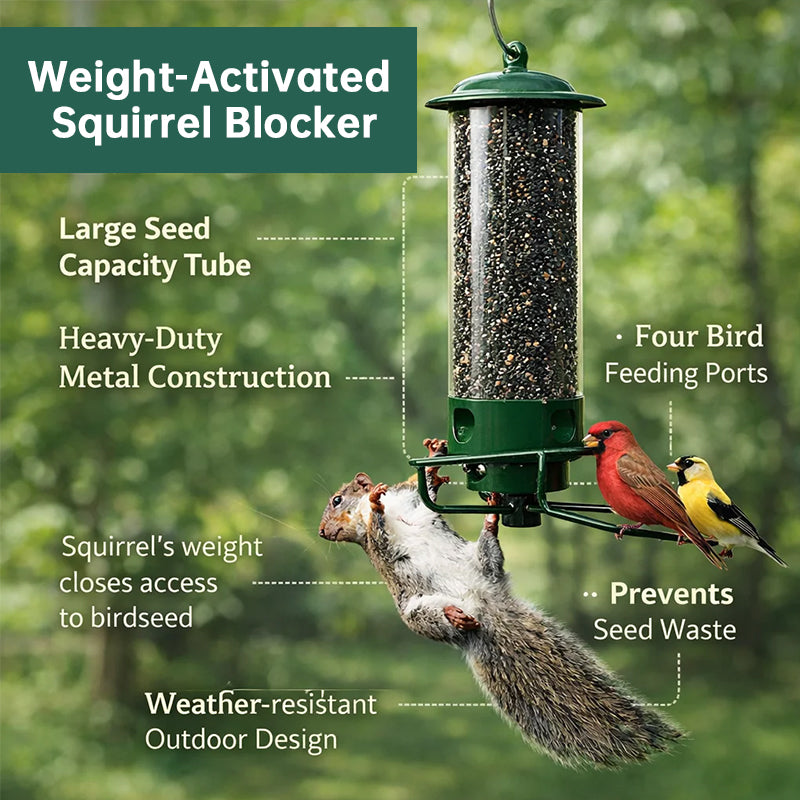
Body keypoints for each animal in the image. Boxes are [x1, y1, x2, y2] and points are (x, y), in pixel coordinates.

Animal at [319, 438, 683, 768]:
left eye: (337, 499)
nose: (323, 532)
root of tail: (483, 606)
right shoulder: (377, 543)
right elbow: (379, 530)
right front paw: (376, 505)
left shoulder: (411, 498)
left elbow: (425, 494)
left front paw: (432, 461)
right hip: (418, 613)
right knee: (441, 617)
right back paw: (454, 615)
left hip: (482, 561)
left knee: (489, 551)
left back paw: (491, 522)